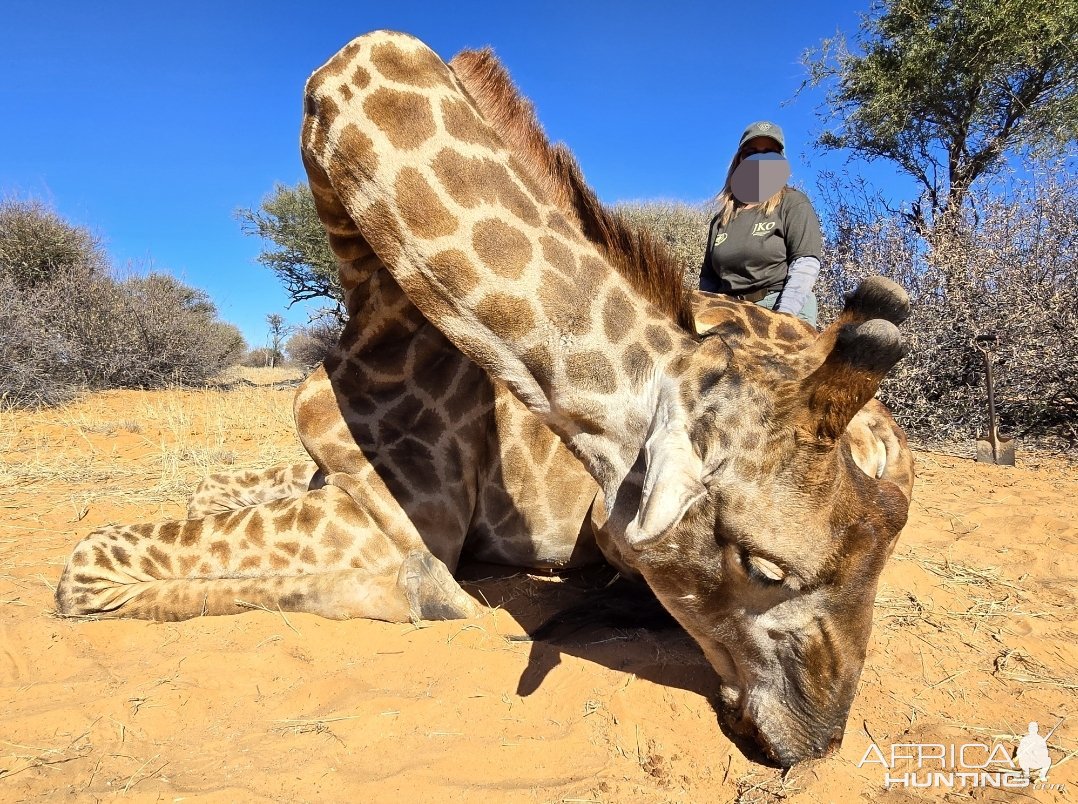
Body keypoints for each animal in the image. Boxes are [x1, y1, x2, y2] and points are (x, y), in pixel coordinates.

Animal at [54, 31, 914, 763]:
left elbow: (87, 560)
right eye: (765, 568)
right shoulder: (333, 471)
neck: (370, 283)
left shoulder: (407, 512)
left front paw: (427, 592)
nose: (818, 741)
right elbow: (187, 499)